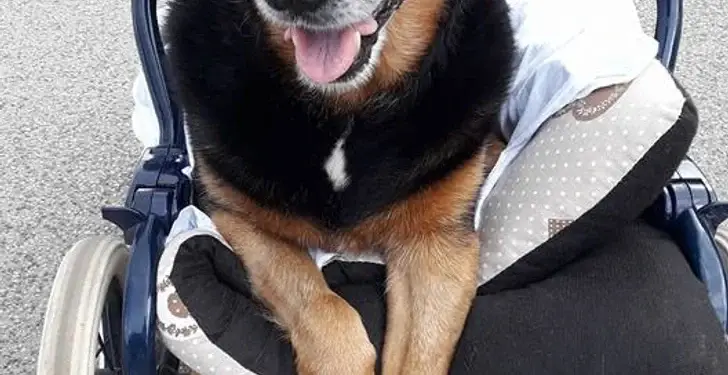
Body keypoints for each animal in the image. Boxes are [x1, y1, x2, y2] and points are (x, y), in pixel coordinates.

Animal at [165, 0, 516, 374]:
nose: (292, 3)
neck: (342, 107)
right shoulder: (236, 214)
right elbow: (326, 315)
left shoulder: (436, 243)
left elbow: (419, 357)